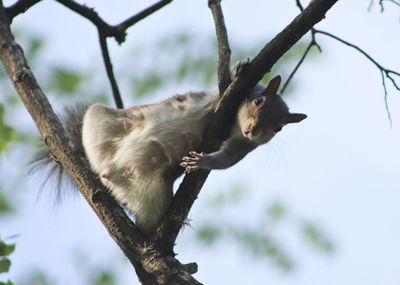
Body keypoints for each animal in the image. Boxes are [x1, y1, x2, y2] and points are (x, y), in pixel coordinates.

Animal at [32, 63, 306, 234]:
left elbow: (225, 160)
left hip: (154, 200)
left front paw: (201, 162)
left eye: (278, 128)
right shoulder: (223, 99)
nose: (253, 130)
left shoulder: (244, 147)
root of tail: (114, 173)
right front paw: (240, 68)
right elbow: (225, 86)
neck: (236, 127)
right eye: (258, 101)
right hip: (102, 120)